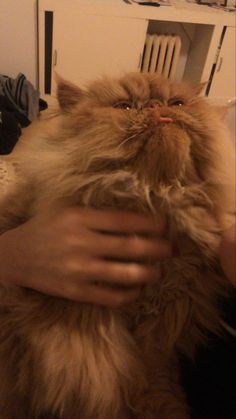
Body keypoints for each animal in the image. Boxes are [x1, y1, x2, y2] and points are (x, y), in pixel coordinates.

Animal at [0, 73, 234, 419]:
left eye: (176, 103)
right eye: (124, 106)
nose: (156, 106)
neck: (155, 197)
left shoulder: (158, 343)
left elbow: (158, 389)